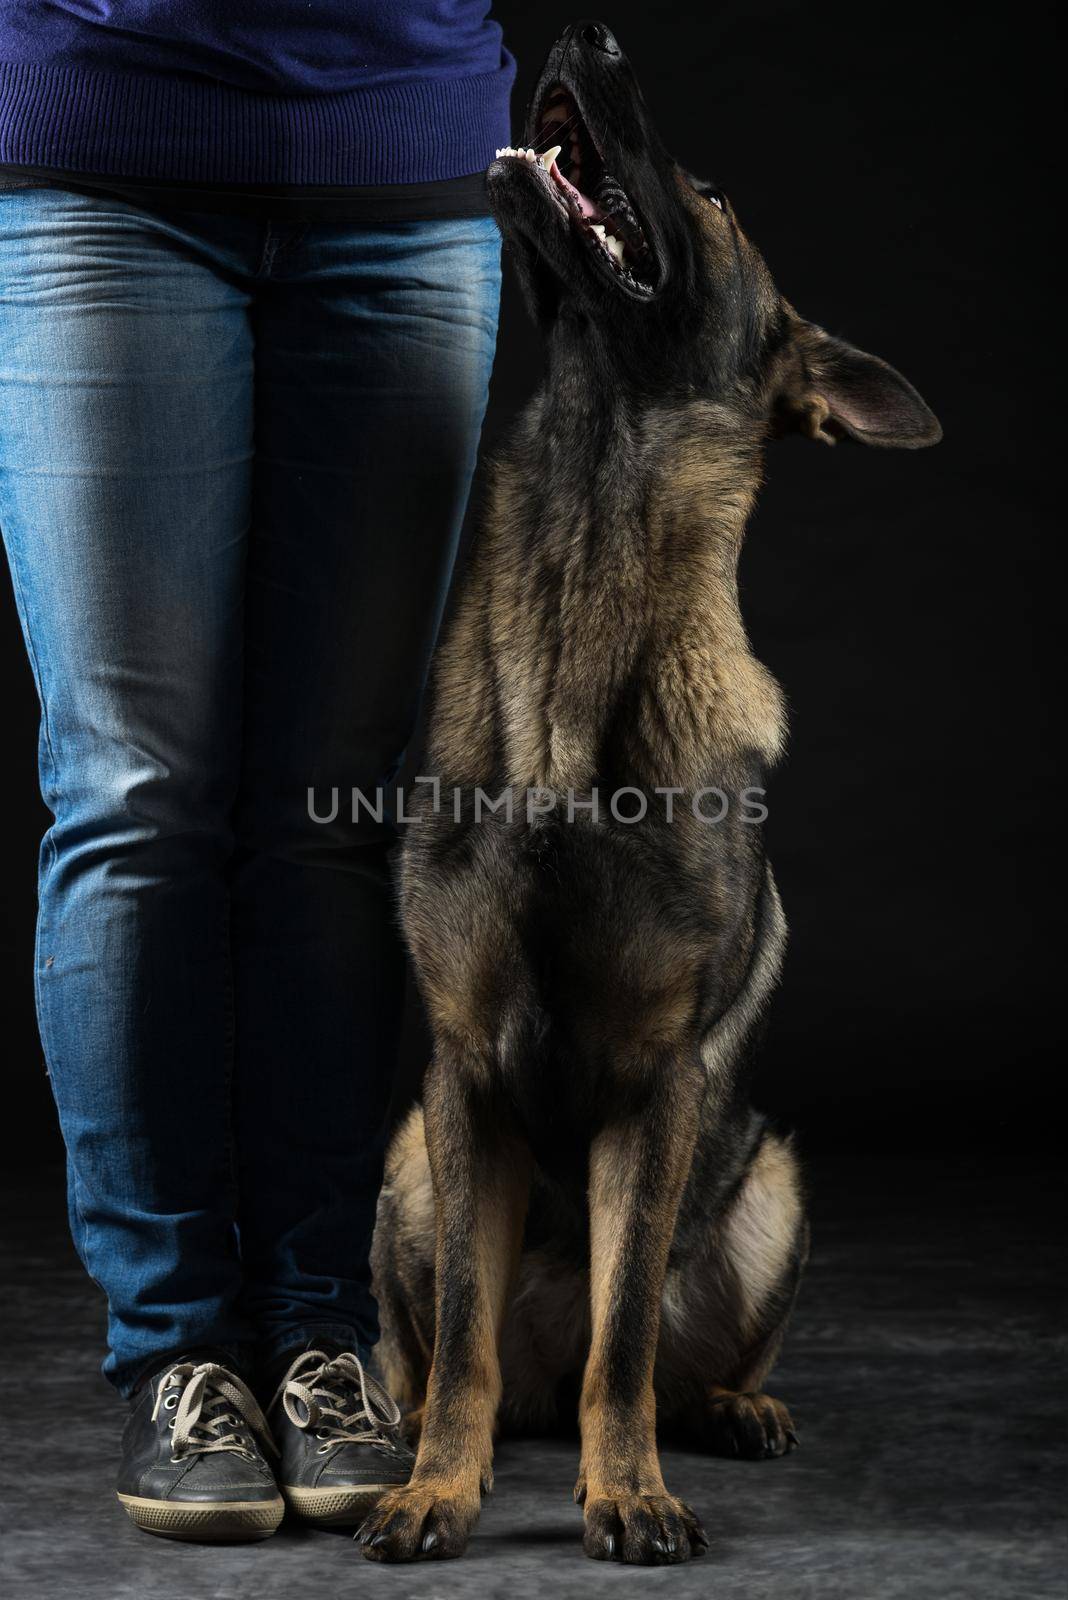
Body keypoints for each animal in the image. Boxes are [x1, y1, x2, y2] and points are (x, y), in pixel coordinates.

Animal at [362, 18, 940, 1568]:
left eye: (722, 197)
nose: (588, 30)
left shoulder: (656, 1090)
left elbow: (626, 1332)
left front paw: (627, 1491)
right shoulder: (464, 1077)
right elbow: (463, 1329)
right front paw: (437, 1489)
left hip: (772, 1184)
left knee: (671, 1358)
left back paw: (727, 1413)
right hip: (410, 1165)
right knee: (442, 1350)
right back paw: (412, 1429)